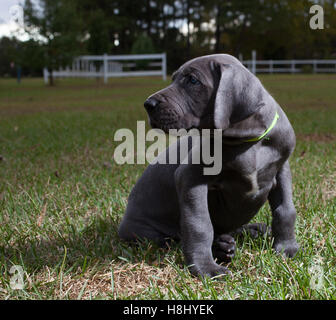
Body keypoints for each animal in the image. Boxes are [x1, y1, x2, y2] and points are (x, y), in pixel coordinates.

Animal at [119, 53, 300, 276]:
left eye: (192, 80)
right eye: (174, 79)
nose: (148, 104)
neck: (247, 140)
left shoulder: (282, 169)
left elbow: (285, 210)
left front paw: (286, 248)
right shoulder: (190, 178)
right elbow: (200, 224)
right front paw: (205, 268)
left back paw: (250, 231)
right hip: (148, 233)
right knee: (175, 238)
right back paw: (220, 248)